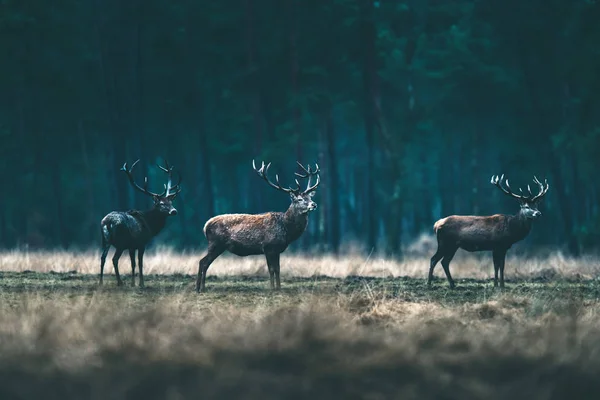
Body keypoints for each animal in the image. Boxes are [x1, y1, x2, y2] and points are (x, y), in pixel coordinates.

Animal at [99, 159, 180, 288]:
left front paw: (133, 283)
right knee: (114, 259)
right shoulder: (141, 243)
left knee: (102, 258)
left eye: (171, 202)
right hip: (120, 242)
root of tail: (107, 222)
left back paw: (101, 282)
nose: (174, 211)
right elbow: (140, 263)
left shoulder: (132, 246)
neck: (150, 225)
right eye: (161, 204)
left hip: (105, 240)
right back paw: (119, 282)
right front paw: (141, 283)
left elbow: (133, 264)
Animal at [196, 160, 318, 294]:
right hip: (216, 244)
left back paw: (199, 288)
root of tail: (205, 226)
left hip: (217, 245)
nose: (314, 204)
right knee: (203, 262)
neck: (286, 229)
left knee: (203, 262)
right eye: (300, 199)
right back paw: (201, 288)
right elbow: (271, 269)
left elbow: (278, 269)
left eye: (310, 197)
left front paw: (279, 288)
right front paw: (272, 288)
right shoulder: (268, 247)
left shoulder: (277, 249)